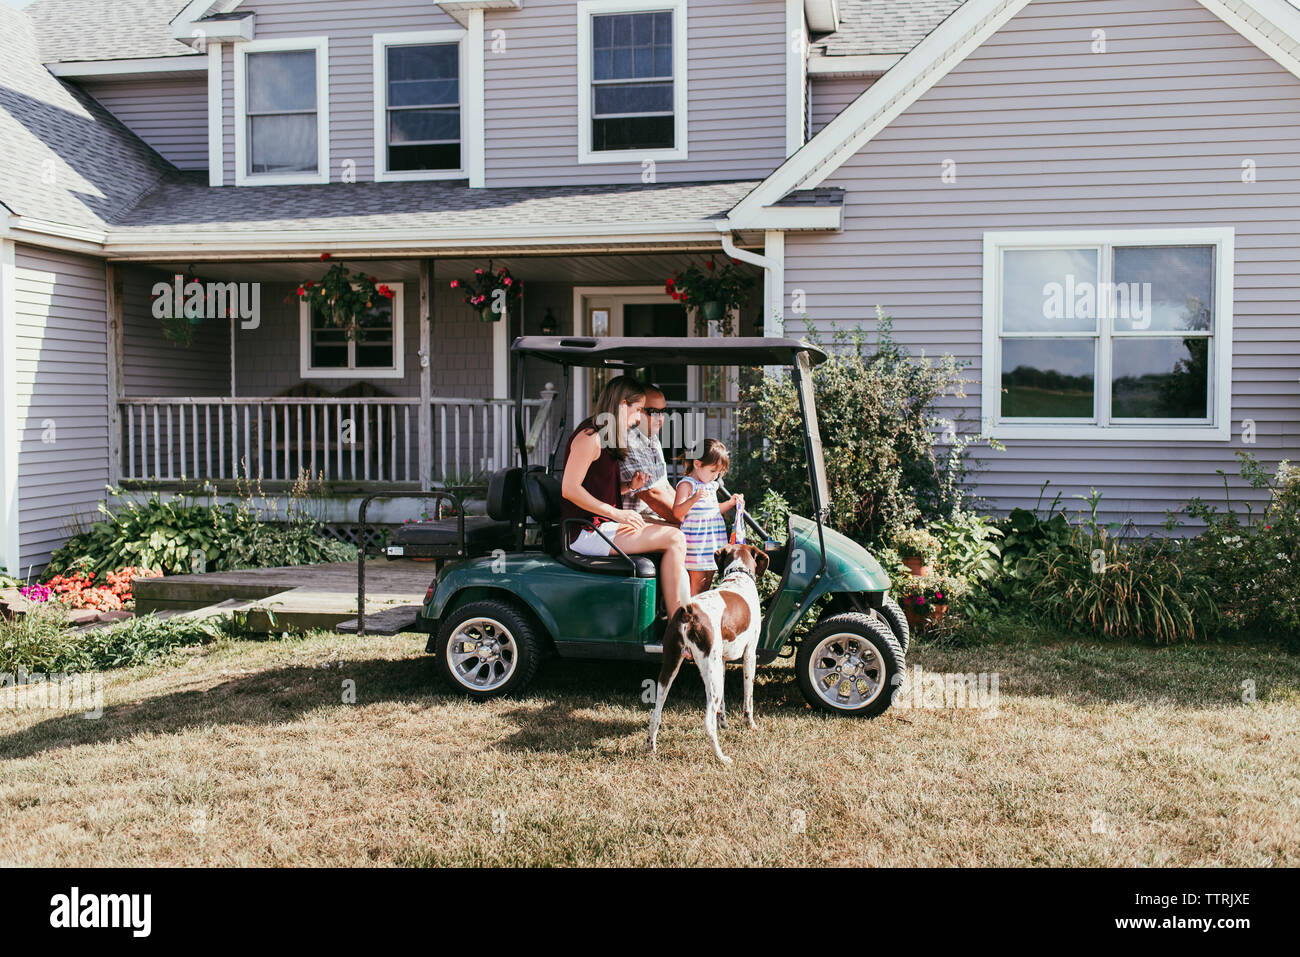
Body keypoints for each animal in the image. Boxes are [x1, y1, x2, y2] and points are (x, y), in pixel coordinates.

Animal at [644, 540, 764, 764]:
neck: (739, 576)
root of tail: (688, 610)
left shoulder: (722, 661)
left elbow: (723, 705)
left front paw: (724, 723)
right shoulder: (750, 655)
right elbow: (748, 697)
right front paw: (750, 724)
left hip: (672, 669)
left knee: (656, 713)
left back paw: (650, 747)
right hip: (709, 672)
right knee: (707, 723)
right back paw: (721, 757)